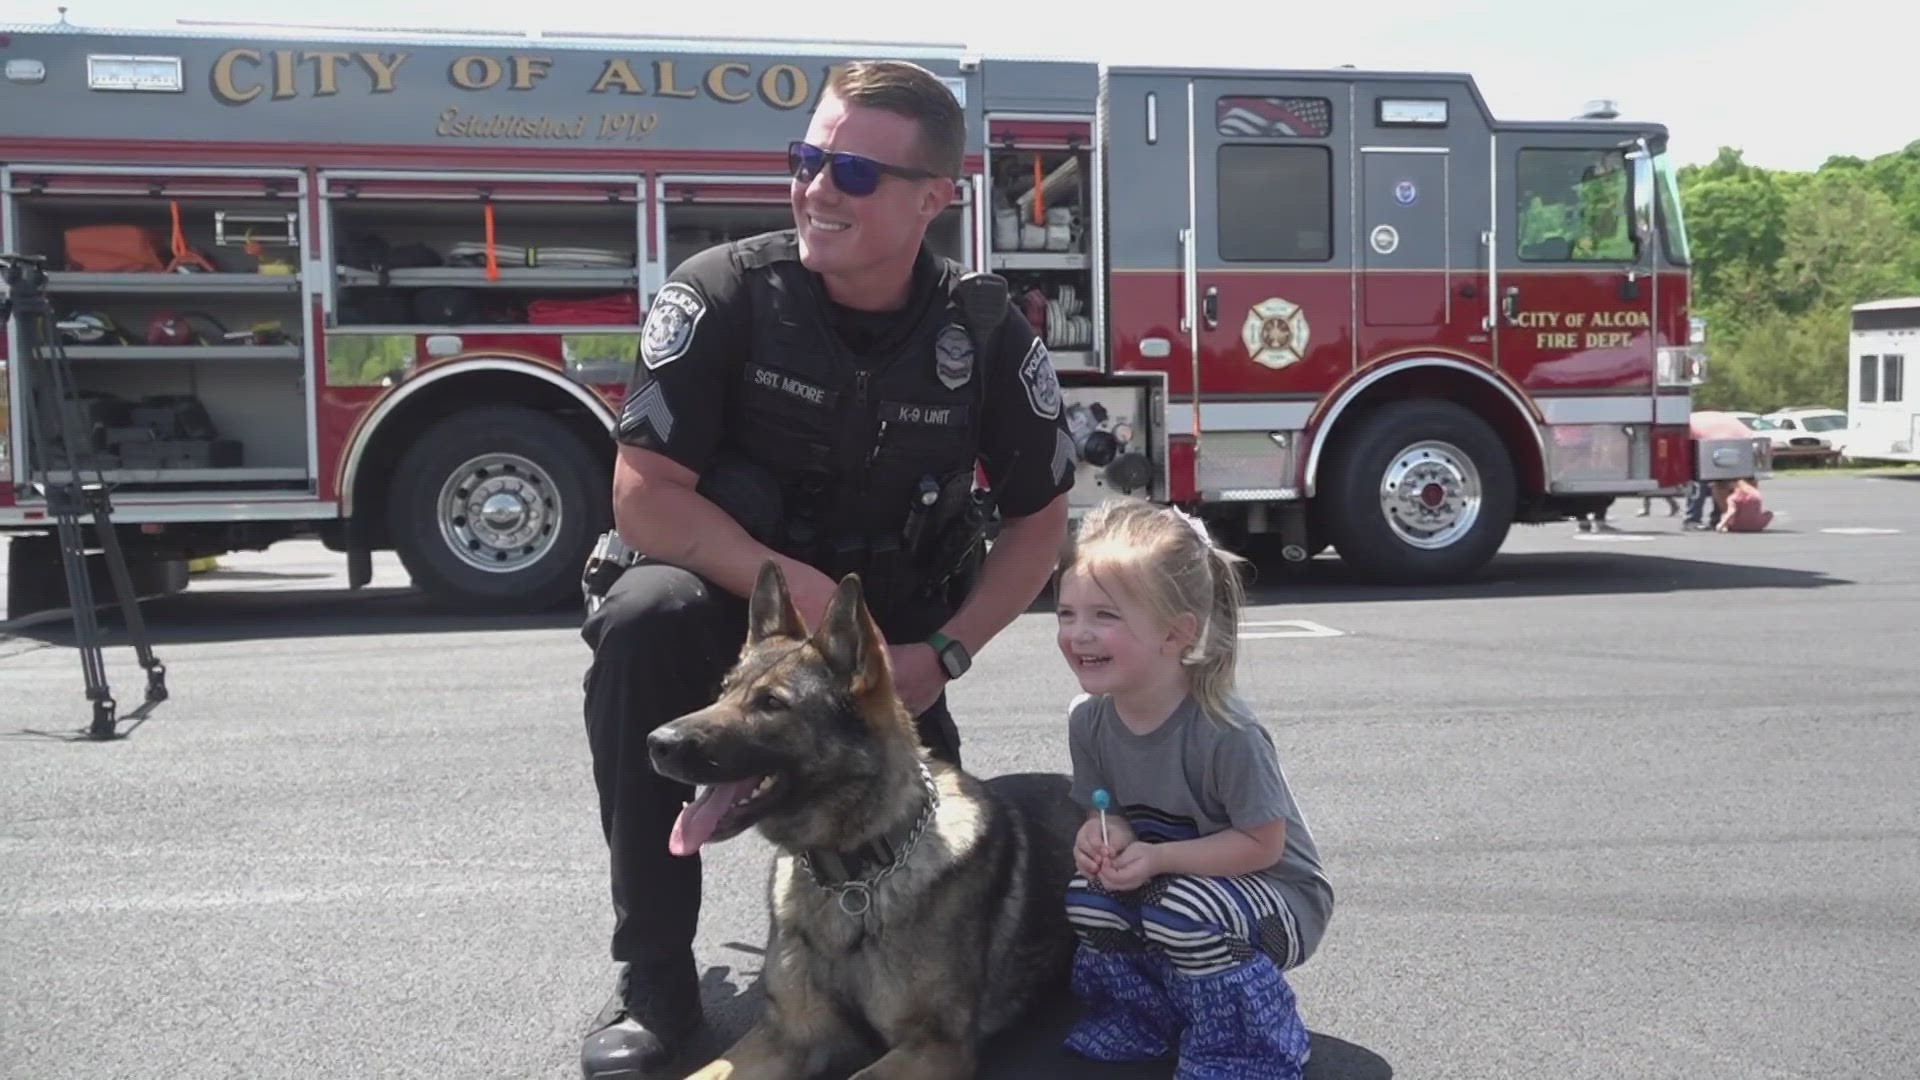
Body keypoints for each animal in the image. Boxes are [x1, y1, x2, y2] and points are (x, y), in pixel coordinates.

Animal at [645, 557, 1090, 1076]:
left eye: (771, 703)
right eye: (723, 691)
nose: (657, 743)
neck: (854, 874)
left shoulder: (935, 1047)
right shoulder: (783, 1037)